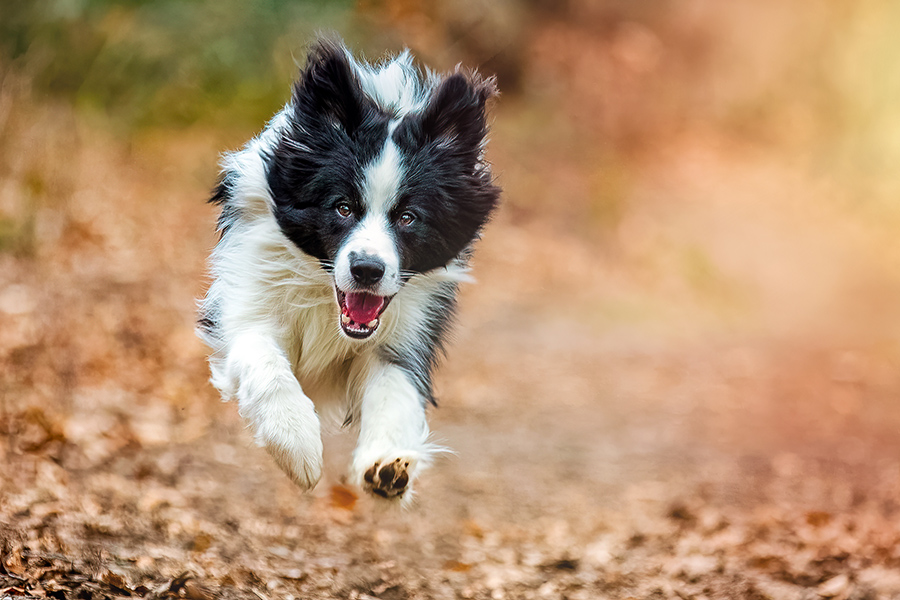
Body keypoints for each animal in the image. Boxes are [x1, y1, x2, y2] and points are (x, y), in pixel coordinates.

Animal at [199, 38, 500, 502]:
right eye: (343, 207)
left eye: (408, 217)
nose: (367, 270)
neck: (325, 295)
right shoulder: (247, 300)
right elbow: (263, 358)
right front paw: (297, 444)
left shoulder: (402, 333)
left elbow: (395, 390)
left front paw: (387, 467)